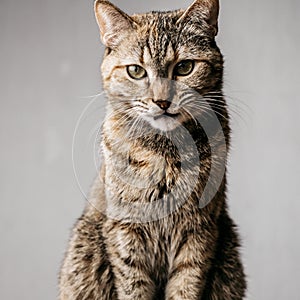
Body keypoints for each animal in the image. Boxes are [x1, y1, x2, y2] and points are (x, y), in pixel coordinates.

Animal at [58, 0, 246, 298]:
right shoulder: (126, 230)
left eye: (185, 67)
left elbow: (186, 285)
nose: (162, 101)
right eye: (136, 71)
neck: (166, 151)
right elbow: (133, 284)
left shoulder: (199, 230)